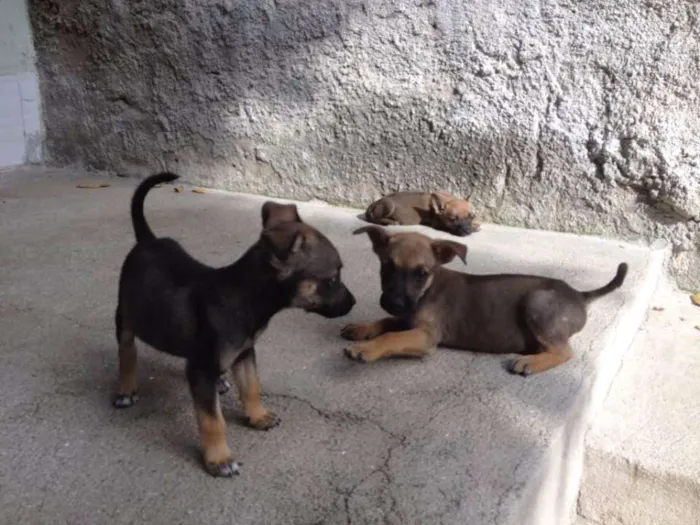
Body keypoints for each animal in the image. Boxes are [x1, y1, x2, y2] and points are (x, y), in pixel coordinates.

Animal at [115, 172, 358, 474]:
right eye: (332, 279)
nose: (353, 303)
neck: (244, 298)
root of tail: (148, 241)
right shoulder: (201, 368)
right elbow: (212, 420)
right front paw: (219, 459)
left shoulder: (244, 353)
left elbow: (252, 388)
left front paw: (258, 416)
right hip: (125, 316)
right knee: (127, 352)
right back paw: (125, 389)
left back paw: (220, 382)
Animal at [342, 227, 628, 374]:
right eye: (387, 267)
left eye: (421, 273)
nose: (395, 303)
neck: (427, 290)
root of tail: (579, 294)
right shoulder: (407, 318)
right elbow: (386, 321)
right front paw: (362, 328)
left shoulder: (426, 336)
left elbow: (392, 337)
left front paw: (366, 348)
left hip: (537, 302)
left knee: (565, 351)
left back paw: (531, 362)